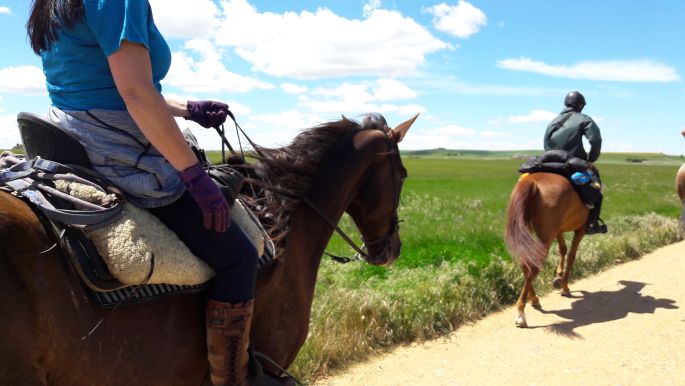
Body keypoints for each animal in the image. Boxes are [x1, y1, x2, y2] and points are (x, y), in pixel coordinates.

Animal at [502, 173, 588, 328]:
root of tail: (532, 181)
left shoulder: (558, 230)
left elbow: (563, 249)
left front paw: (558, 276)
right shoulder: (581, 229)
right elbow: (572, 255)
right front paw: (564, 286)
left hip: (528, 230)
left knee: (525, 264)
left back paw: (534, 299)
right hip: (546, 236)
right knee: (534, 266)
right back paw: (521, 313)